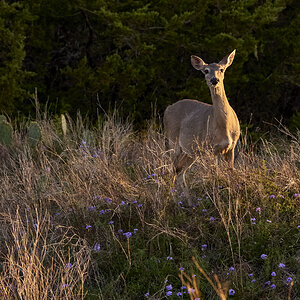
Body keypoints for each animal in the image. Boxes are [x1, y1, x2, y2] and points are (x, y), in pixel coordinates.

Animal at [163, 49, 240, 204]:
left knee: (180, 170)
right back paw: (170, 200)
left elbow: (230, 173)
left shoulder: (231, 147)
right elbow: (215, 176)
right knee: (172, 168)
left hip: (191, 151)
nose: (214, 80)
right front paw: (217, 201)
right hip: (173, 142)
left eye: (221, 69)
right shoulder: (211, 148)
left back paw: (189, 203)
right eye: (206, 71)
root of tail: (167, 109)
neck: (224, 127)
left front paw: (234, 197)